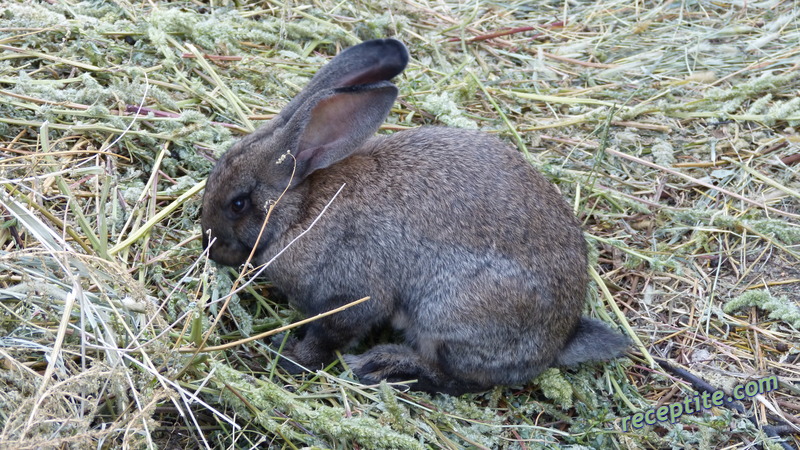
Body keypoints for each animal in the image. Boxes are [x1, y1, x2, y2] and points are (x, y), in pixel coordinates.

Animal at [202, 40, 632, 396]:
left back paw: (385, 367)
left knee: (461, 380)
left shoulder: (353, 296)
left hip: (451, 315)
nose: (210, 246)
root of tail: (560, 339)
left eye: (238, 204)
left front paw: (291, 358)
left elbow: (328, 338)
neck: (302, 208)